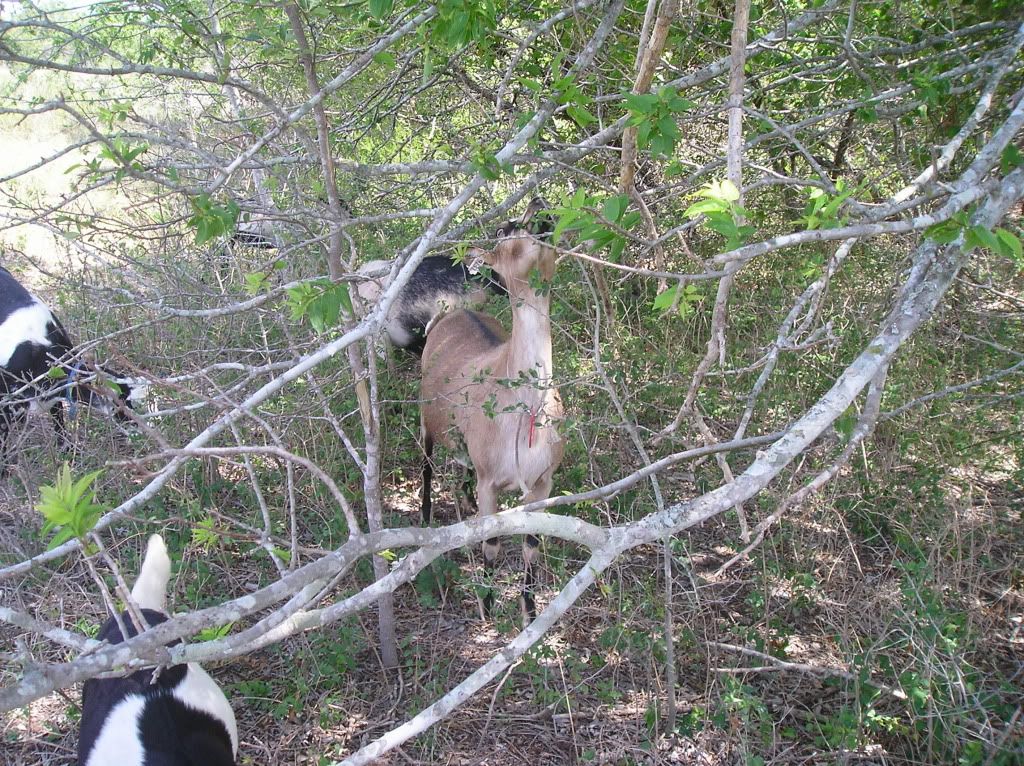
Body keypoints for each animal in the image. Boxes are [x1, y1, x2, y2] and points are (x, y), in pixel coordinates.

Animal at [419, 199, 563, 623]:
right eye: (502, 230)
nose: (538, 203)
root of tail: (449, 312)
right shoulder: (490, 482)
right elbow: (493, 544)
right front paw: (486, 607)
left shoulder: (542, 482)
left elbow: (531, 545)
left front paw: (529, 612)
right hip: (426, 420)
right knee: (427, 468)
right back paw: (427, 521)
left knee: (458, 467)